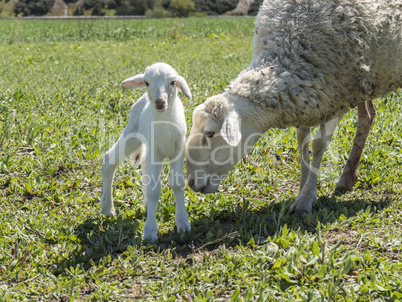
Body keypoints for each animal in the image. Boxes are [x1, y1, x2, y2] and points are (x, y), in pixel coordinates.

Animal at [102, 62, 193, 242]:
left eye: (173, 82)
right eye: (146, 82)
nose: (159, 102)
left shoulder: (177, 150)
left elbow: (178, 184)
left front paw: (183, 223)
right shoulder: (155, 152)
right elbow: (153, 190)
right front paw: (150, 231)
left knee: (143, 164)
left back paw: (144, 205)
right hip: (132, 133)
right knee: (109, 160)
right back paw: (108, 209)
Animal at [186, 0, 402, 215]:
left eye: (209, 133)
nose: (191, 183)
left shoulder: (335, 95)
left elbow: (318, 144)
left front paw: (305, 200)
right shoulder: (309, 98)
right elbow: (302, 141)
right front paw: (302, 188)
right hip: (365, 80)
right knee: (368, 115)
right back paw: (347, 178)